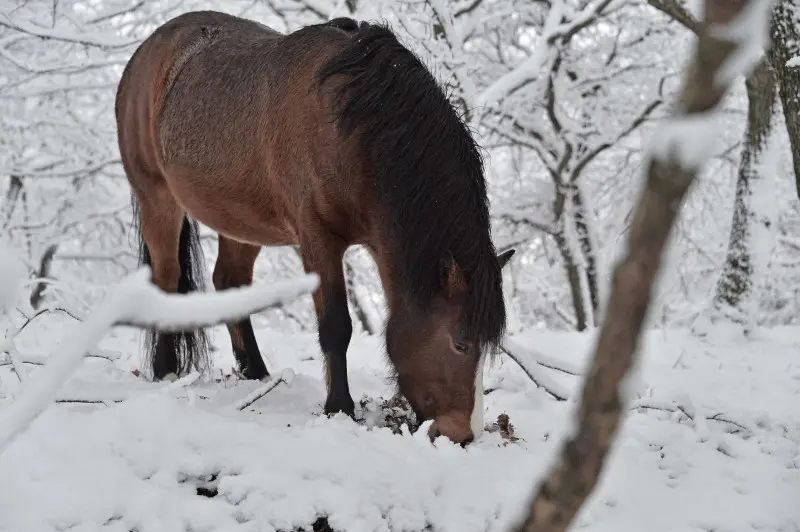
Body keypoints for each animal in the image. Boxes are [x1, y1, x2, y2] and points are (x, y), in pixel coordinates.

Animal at [114, 12, 512, 444]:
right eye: (461, 343)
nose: (464, 434)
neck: (351, 128)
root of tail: (145, 53)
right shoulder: (318, 238)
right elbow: (337, 325)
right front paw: (339, 407)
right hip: (157, 198)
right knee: (166, 280)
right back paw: (166, 371)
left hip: (241, 219)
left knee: (230, 282)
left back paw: (257, 374)